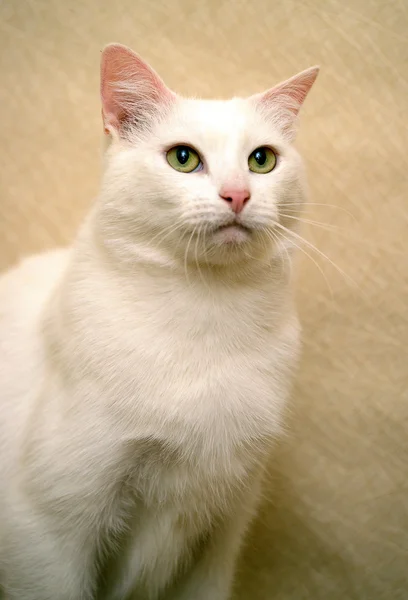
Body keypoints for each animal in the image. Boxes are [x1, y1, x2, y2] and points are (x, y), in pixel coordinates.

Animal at [0, 43, 318, 600]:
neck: (206, 313)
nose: (238, 195)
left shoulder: (221, 534)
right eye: (183, 158)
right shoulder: (45, 528)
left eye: (262, 160)